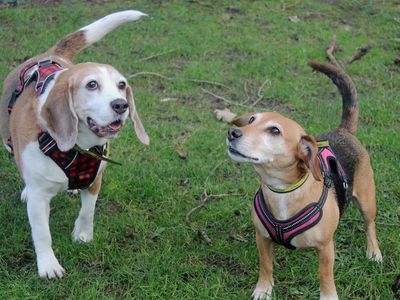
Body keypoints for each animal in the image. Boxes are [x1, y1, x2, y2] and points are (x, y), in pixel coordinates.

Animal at [227, 62, 382, 298]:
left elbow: (325, 276)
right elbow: (266, 265)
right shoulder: (262, 238)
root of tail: (343, 131)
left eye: (274, 130)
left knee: (369, 225)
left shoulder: (326, 248)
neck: (282, 190)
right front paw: (264, 289)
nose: (232, 132)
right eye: (252, 120)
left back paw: (374, 251)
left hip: (366, 200)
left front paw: (328, 296)